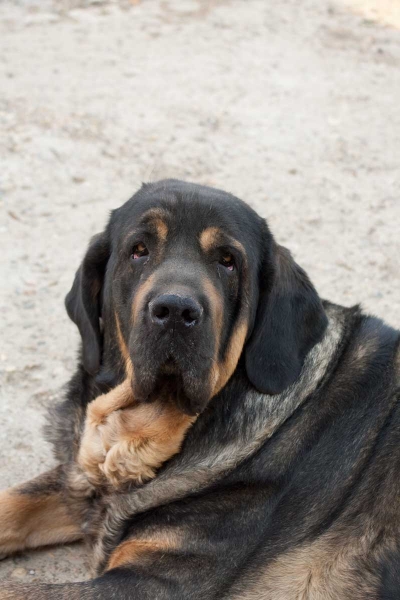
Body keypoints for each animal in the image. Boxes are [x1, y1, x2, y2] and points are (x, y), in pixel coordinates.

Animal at [0, 179, 400, 600]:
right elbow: (15, 502)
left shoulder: (156, 578)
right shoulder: (78, 482)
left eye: (228, 261)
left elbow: (15, 589)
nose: (176, 310)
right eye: (138, 250)